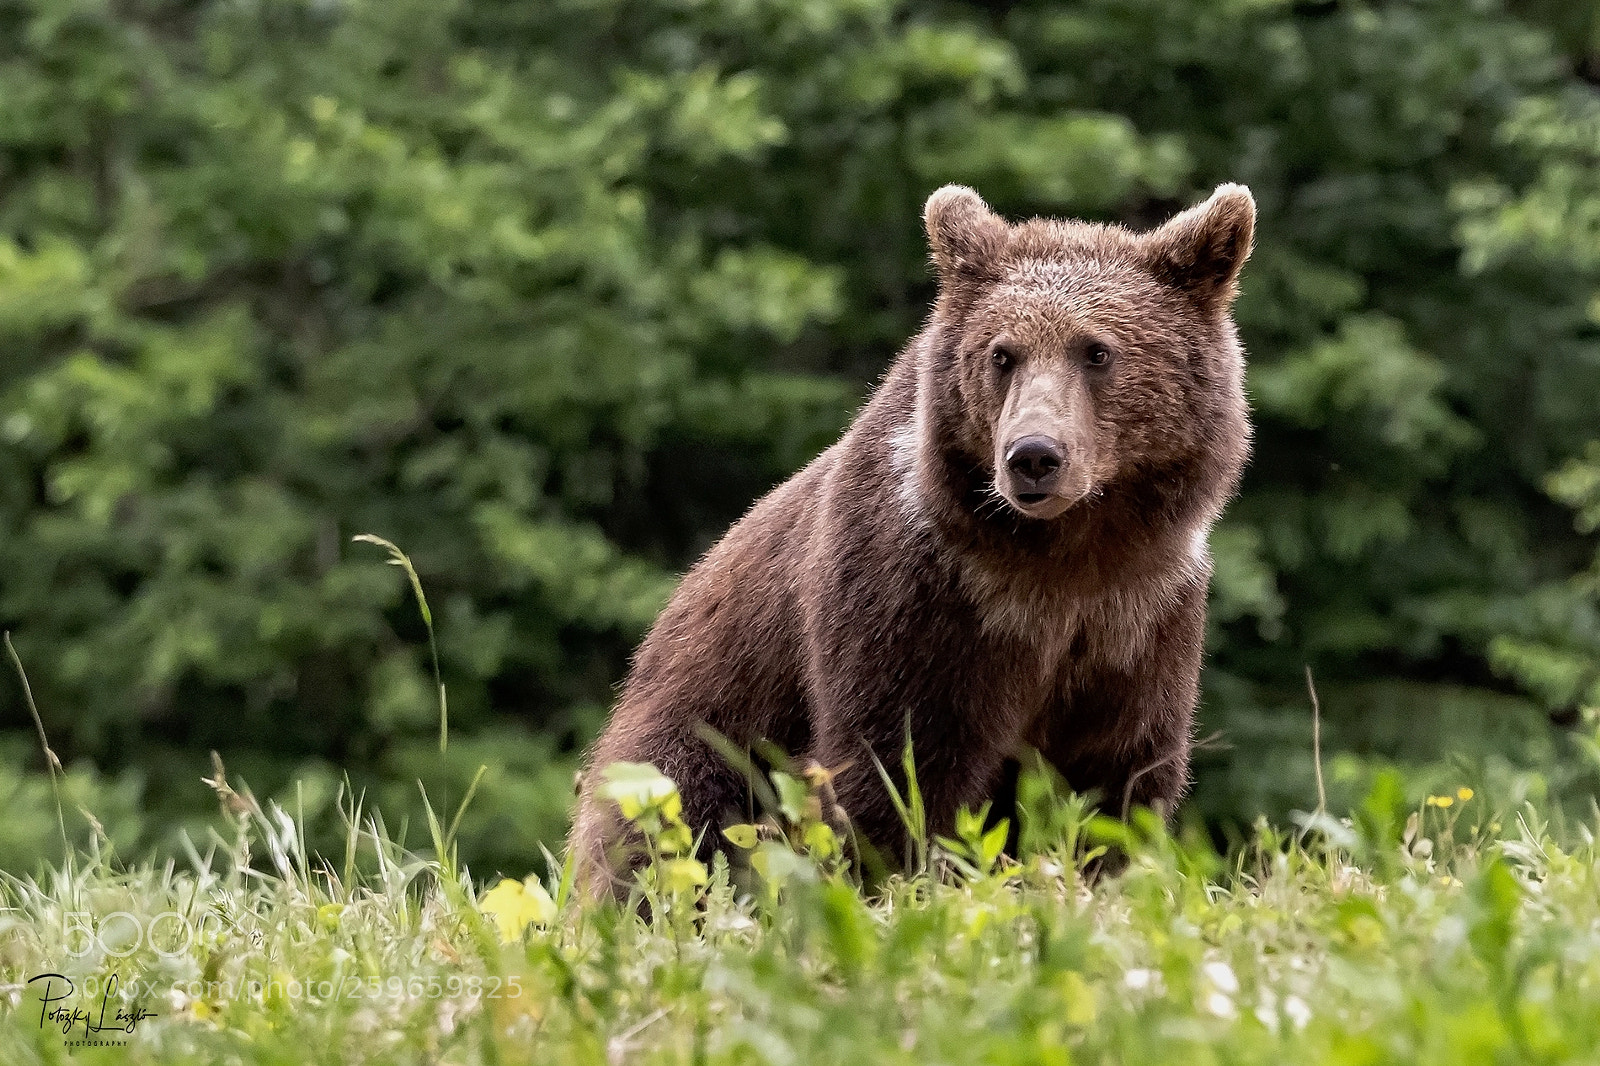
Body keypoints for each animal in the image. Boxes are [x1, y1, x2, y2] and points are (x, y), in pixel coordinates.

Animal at [570, 183, 1254, 895]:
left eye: (1097, 350)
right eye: (1001, 353)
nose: (1033, 456)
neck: (1058, 559)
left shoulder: (1137, 614)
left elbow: (1115, 778)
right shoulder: (922, 598)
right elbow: (899, 765)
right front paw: (896, 877)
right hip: (692, 727)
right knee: (670, 825)